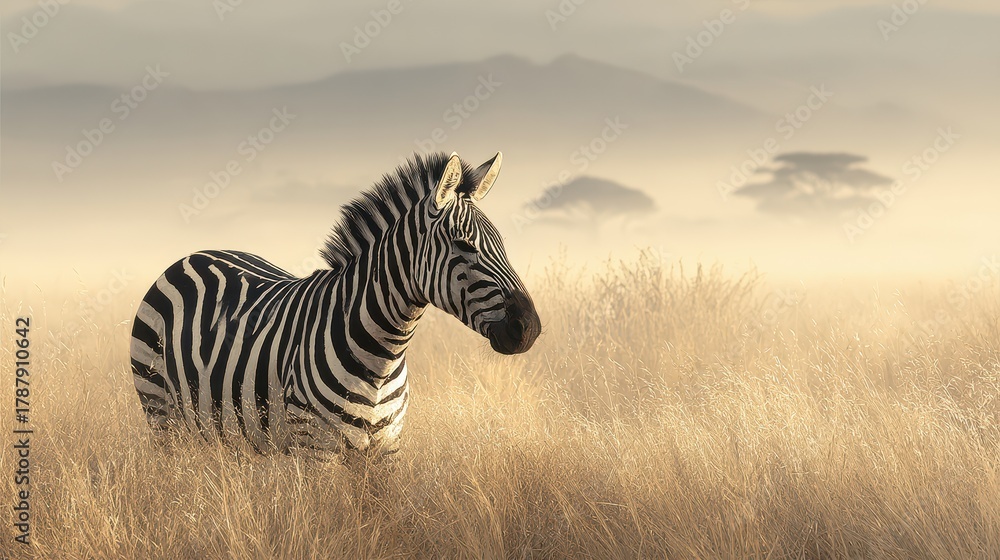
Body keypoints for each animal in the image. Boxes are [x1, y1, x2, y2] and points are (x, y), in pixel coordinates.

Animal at [129, 151, 541, 454]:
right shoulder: (317, 449)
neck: (385, 353)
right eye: (464, 245)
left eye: (501, 243)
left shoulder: (385, 450)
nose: (530, 328)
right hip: (160, 412)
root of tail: (194, 254)